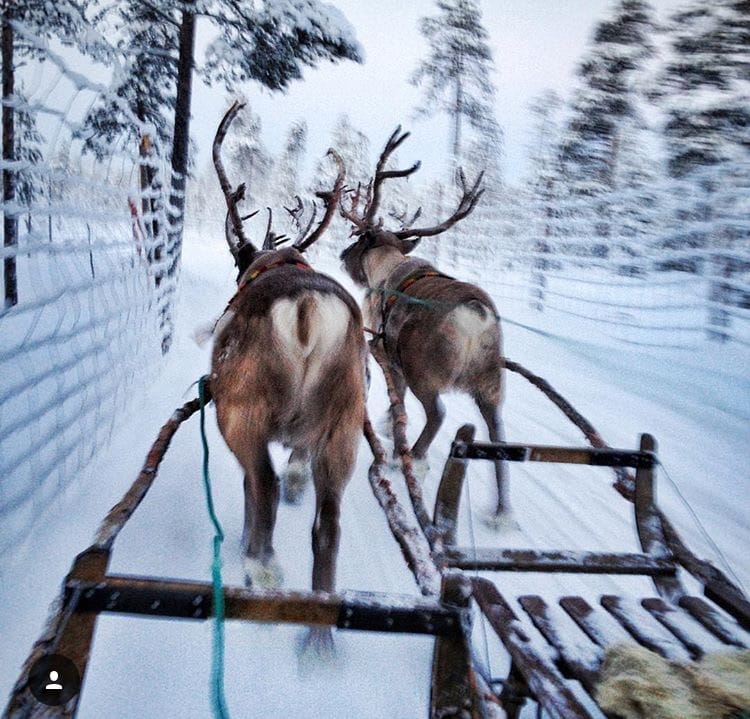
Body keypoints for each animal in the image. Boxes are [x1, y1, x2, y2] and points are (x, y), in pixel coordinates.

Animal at [208, 102, 367, 649]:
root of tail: (308, 309)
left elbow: (248, 488)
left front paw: (242, 544)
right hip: (346, 422)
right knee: (329, 524)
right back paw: (318, 643)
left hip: (240, 409)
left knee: (265, 482)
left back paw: (262, 569)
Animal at [339, 126, 511, 522]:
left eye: (357, 241)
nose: (341, 256)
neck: (386, 268)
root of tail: (475, 316)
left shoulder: (384, 350)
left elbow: (396, 397)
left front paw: (388, 426)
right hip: (491, 381)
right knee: (498, 433)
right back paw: (501, 511)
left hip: (426, 371)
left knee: (438, 413)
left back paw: (409, 459)